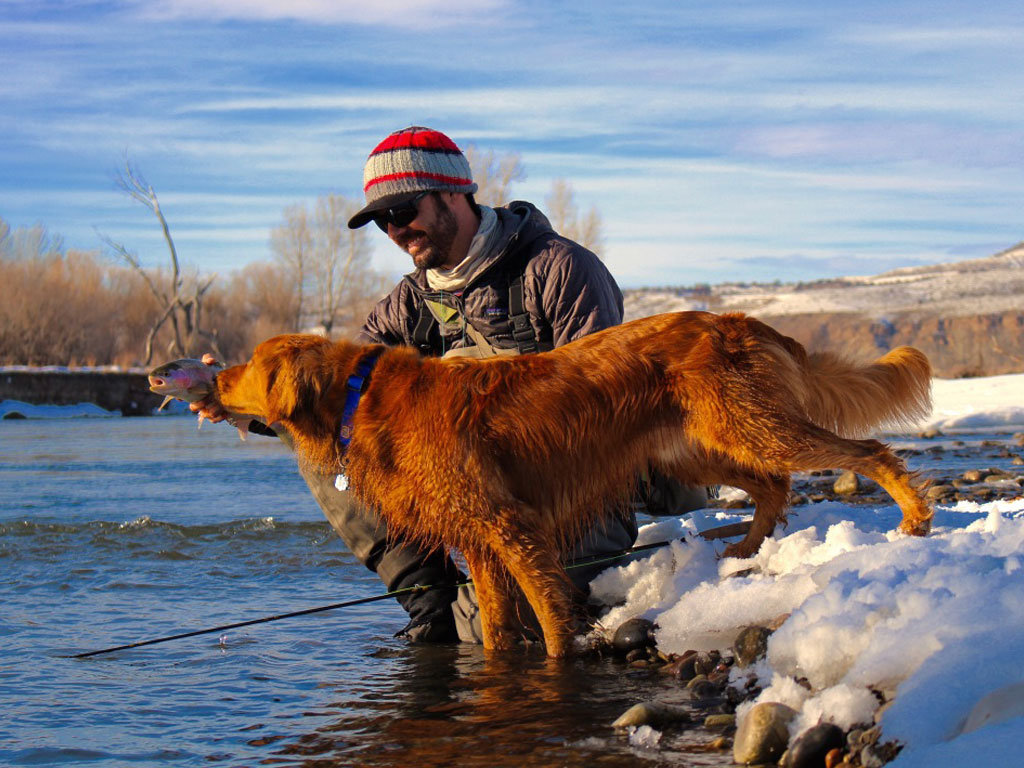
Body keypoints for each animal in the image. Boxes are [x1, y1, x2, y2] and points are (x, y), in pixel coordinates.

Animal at [216, 309, 937, 659]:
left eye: (248, 363)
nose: (212, 376)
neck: (360, 395)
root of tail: (751, 323)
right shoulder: (480, 541)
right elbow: (501, 628)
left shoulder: (510, 525)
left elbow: (548, 612)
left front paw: (560, 661)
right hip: (694, 448)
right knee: (772, 486)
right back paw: (746, 548)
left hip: (749, 426)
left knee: (866, 451)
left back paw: (914, 519)